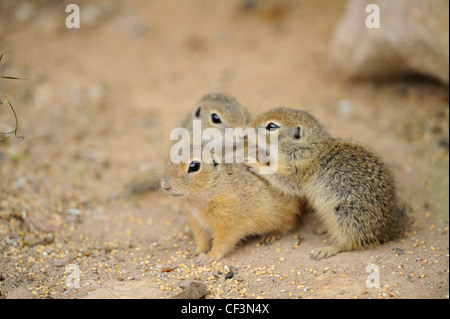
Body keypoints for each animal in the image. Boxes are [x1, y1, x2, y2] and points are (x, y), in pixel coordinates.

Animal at [161, 148, 302, 262]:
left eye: (194, 166)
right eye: (167, 159)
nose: (165, 186)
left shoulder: (229, 223)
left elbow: (223, 241)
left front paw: (210, 256)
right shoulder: (196, 222)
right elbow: (202, 239)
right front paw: (197, 251)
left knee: (290, 224)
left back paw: (272, 235)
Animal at [244, 107, 414, 260]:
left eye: (271, 126)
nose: (248, 127)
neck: (307, 147)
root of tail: (388, 230)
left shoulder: (295, 171)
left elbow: (279, 178)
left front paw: (253, 162)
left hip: (345, 215)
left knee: (349, 243)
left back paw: (326, 249)